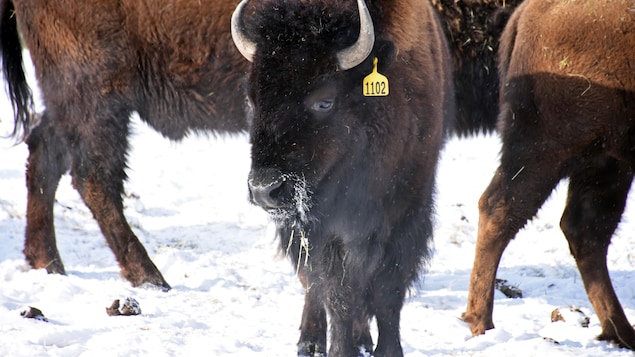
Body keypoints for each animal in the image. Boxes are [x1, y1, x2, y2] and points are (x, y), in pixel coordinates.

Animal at [1, 0, 251, 290]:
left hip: (70, 100)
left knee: (46, 155)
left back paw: (49, 263)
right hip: (96, 94)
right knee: (94, 179)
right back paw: (149, 276)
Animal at [231, 0, 454, 354]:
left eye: (324, 101)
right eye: (252, 100)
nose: (265, 189)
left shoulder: (406, 213)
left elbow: (387, 291)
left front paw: (387, 350)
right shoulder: (325, 228)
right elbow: (337, 292)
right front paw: (339, 349)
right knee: (313, 283)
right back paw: (310, 341)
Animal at [462, 0, 635, 350]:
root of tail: (529, 11)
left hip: (605, 162)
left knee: (586, 230)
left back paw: (620, 332)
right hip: (549, 149)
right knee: (501, 209)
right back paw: (482, 324)